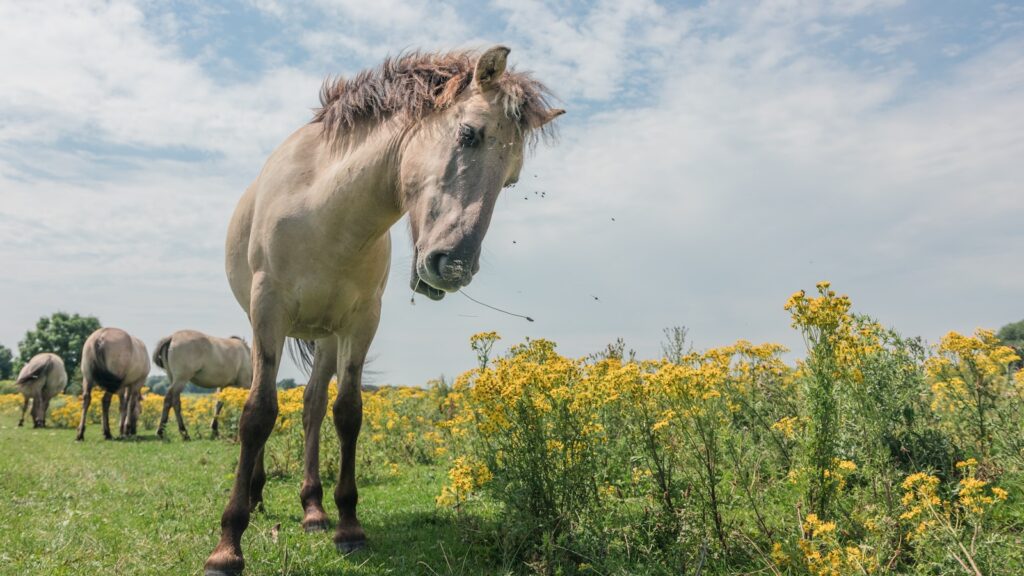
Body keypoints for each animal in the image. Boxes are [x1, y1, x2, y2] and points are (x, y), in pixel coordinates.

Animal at [203, 46, 563, 575]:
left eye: (512, 177)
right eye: (468, 133)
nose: (453, 267)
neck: (325, 209)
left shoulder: (360, 323)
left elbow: (347, 413)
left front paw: (349, 526)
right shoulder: (267, 312)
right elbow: (257, 413)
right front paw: (228, 546)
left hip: (327, 337)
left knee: (312, 407)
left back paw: (313, 510)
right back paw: (256, 494)